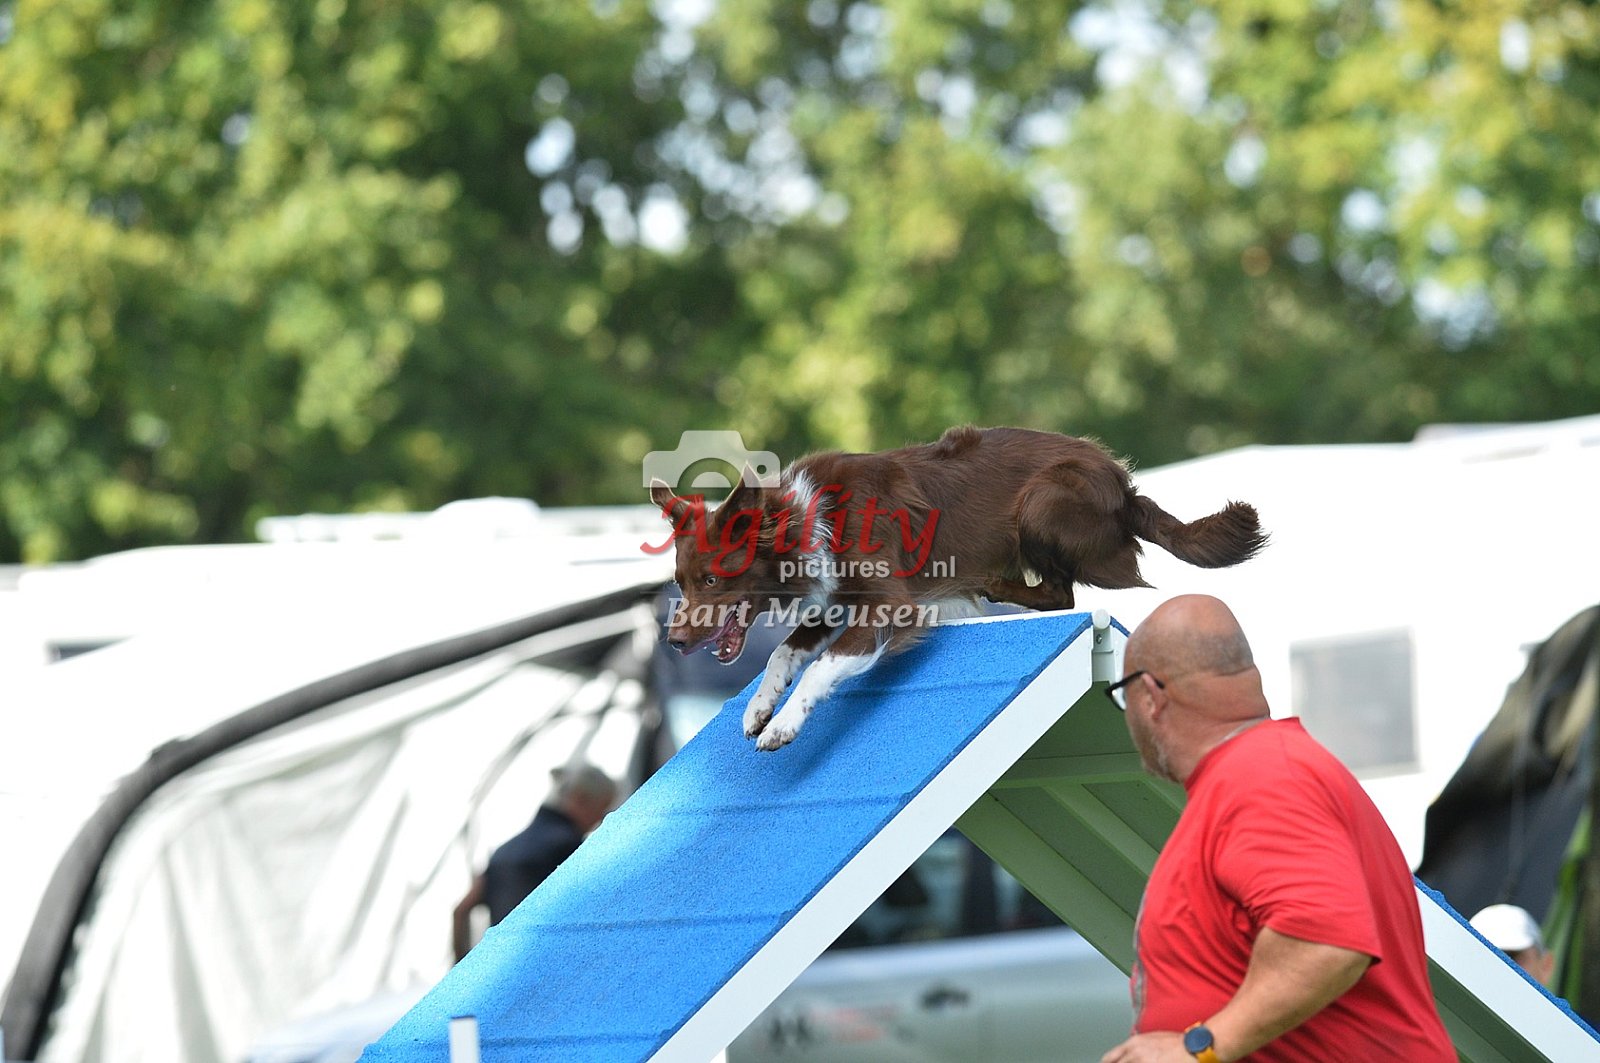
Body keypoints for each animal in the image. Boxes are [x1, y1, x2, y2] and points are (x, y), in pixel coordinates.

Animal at [649, 425, 1266, 750]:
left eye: (711, 579)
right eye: (680, 581)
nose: (673, 642)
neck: (806, 518)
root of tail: (1124, 485)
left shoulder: (889, 604)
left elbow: (823, 666)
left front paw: (782, 724)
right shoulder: (834, 598)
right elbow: (783, 651)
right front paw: (759, 706)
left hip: (1043, 501)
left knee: (1062, 592)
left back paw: (990, 584)